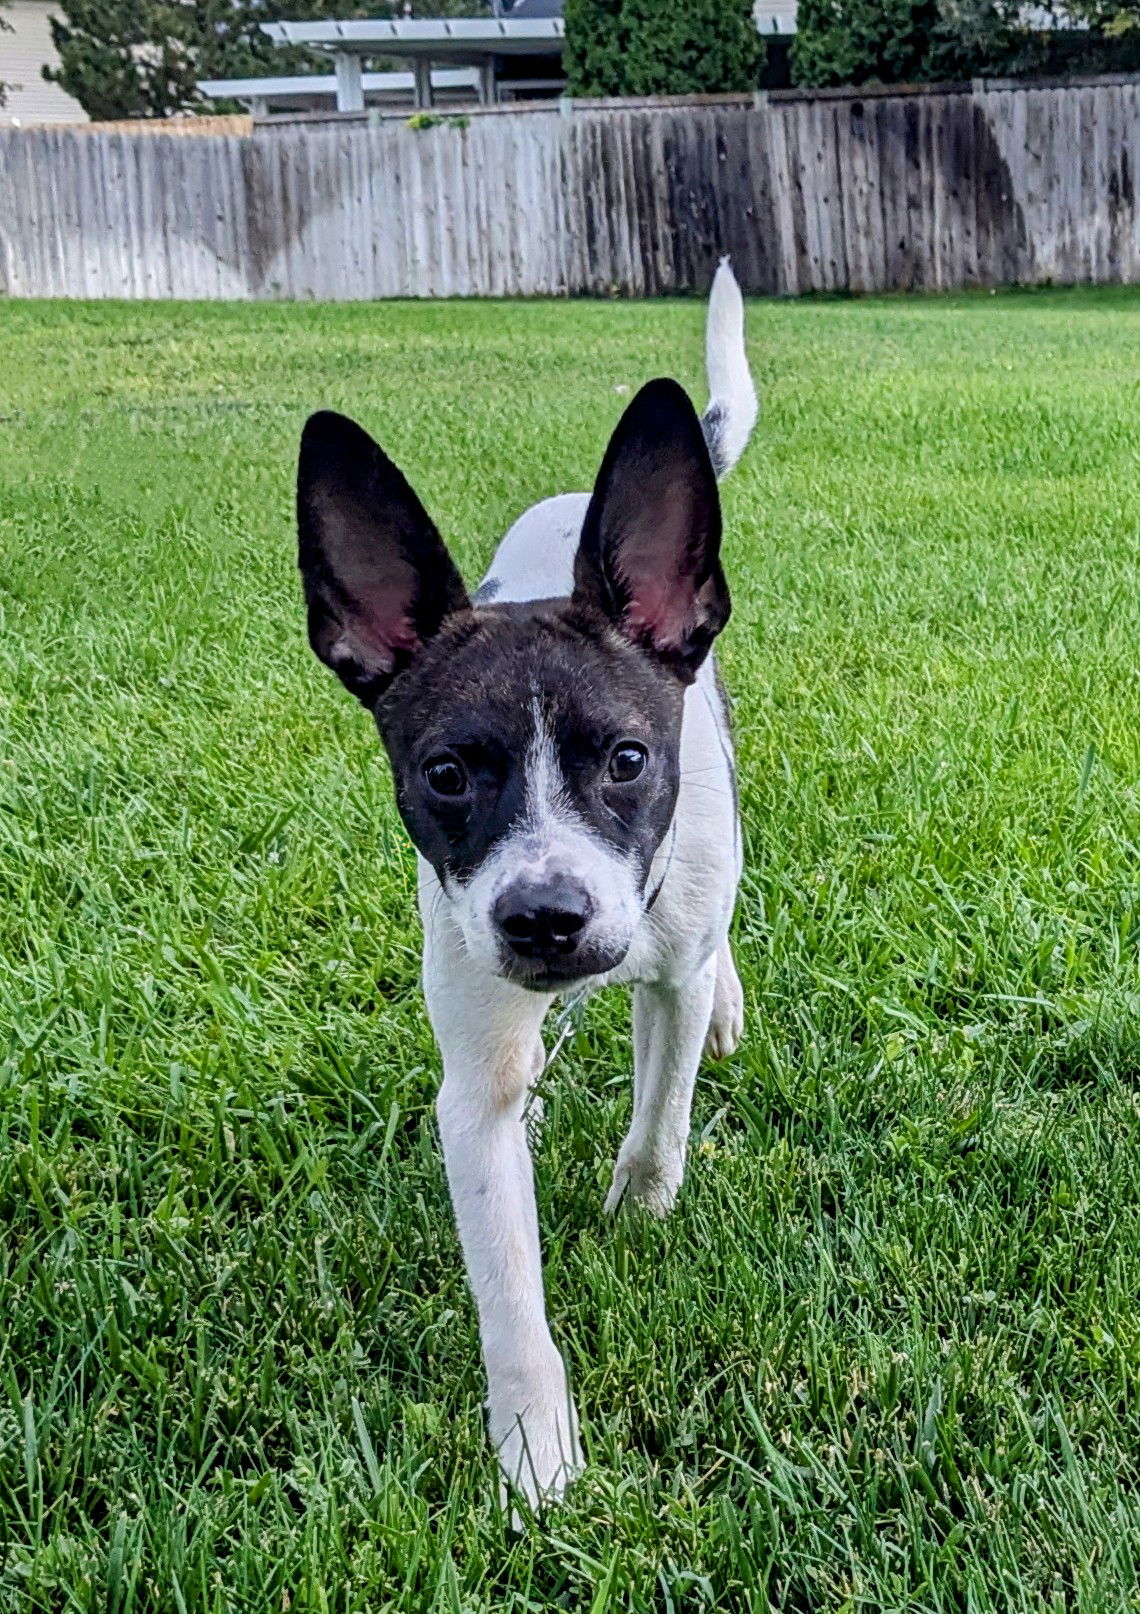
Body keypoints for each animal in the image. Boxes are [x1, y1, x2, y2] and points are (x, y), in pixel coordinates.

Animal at [293, 264, 755, 1510]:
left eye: (628, 759)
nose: (547, 920)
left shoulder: (666, 959)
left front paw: (639, 1208)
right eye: (446, 774)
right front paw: (537, 1451)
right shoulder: (475, 1061)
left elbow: (662, 1111)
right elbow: (506, 1284)